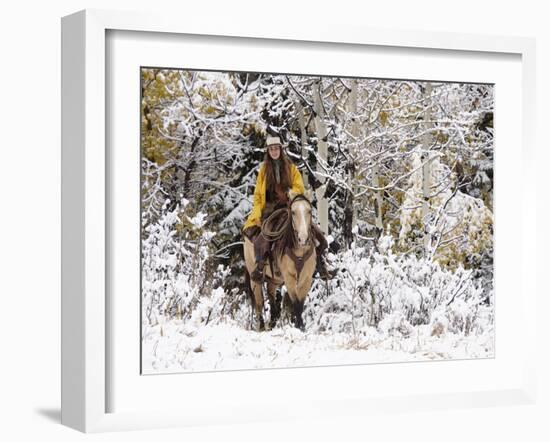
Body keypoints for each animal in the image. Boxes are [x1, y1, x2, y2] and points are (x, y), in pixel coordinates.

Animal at [244, 191, 316, 332]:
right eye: (293, 212)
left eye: (309, 211)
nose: (303, 239)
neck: (299, 251)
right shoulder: (289, 278)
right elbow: (296, 302)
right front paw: (298, 326)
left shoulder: (306, 278)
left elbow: (300, 303)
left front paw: (301, 327)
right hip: (254, 278)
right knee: (259, 303)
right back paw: (262, 326)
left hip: (275, 279)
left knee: (271, 296)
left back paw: (273, 320)